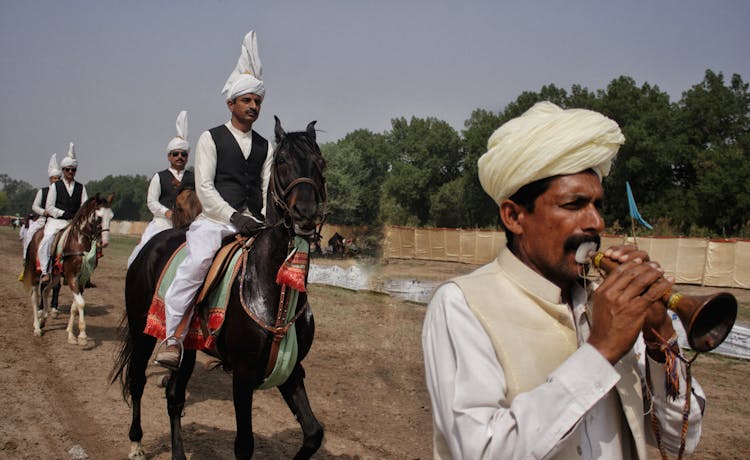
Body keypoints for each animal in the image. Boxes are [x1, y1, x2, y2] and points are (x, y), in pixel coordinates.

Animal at [111, 118, 326, 460]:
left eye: (320, 163)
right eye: (281, 162)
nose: (304, 214)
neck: (272, 288)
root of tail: (151, 246)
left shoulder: (291, 369)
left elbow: (313, 434)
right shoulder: (243, 373)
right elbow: (244, 444)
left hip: (187, 346)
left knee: (174, 395)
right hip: (141, 331)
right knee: (136, 380)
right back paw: (135, 443)